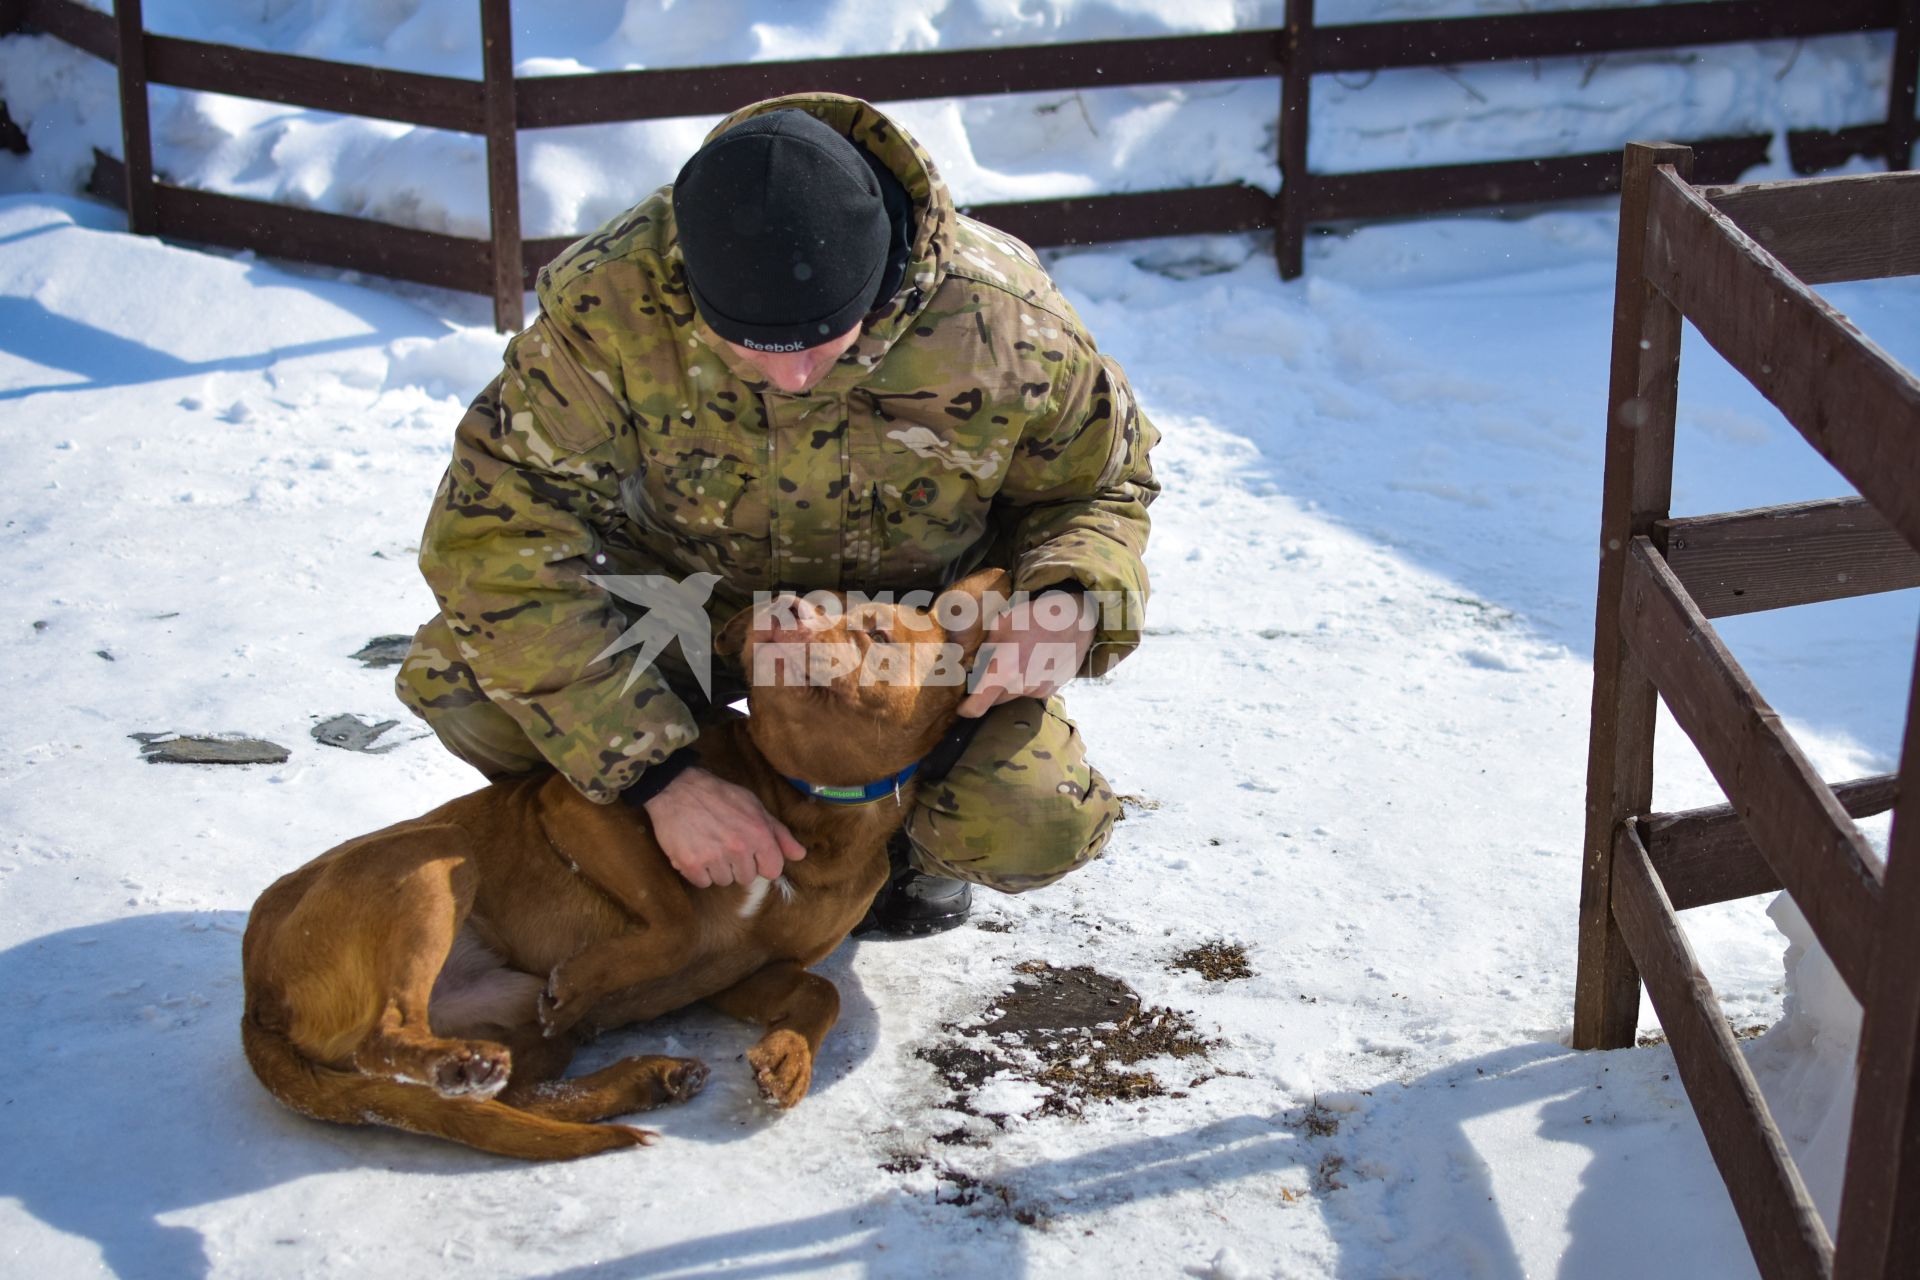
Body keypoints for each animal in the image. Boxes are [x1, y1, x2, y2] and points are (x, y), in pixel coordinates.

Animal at [243, 571, 1006, 1159]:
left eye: (878, 633)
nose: (783, 608)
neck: (808, 804)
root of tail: (257, 999)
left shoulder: (748, 972)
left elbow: (823, 992)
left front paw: (787, 1057)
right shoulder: (581, 810)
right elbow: (675, 924)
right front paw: (581, 980)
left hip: (518, 1022)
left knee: (529, 1095)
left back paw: (646, 1079)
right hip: (428, 864)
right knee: (387, 1036)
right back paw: (468, 1065)